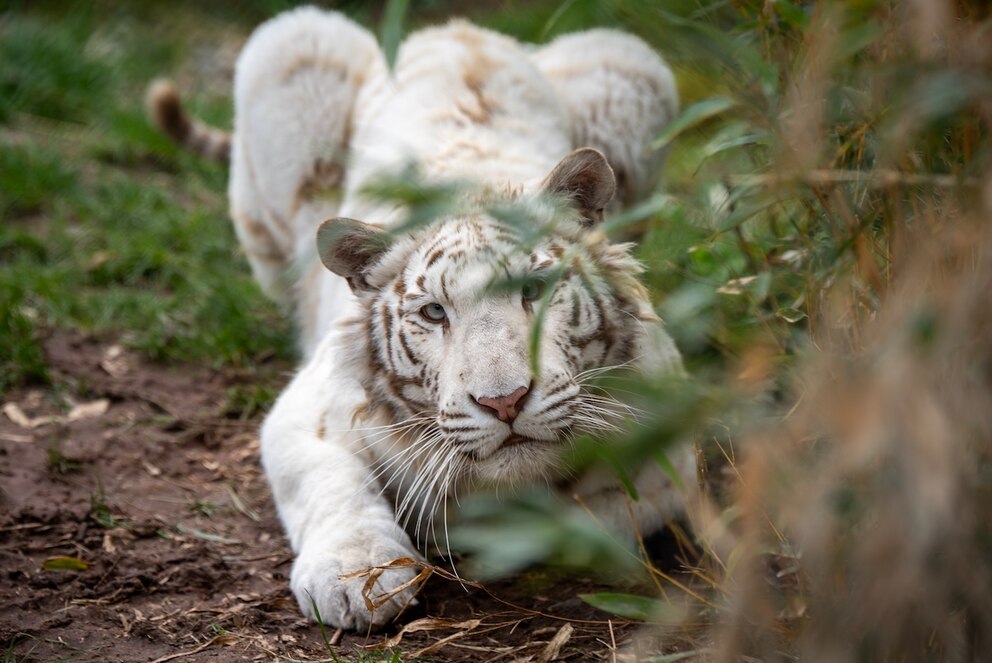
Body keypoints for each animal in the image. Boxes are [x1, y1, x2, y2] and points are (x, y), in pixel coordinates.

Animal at [151, 6, 696, 632]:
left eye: (535, 290)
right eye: (435, 312)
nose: (505, 402)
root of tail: (458, 29)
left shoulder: (668, 442)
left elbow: (600, 516)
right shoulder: (307, 411)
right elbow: (330, 482)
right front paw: (357, 579)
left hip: (633, 64)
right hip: (287, 47)